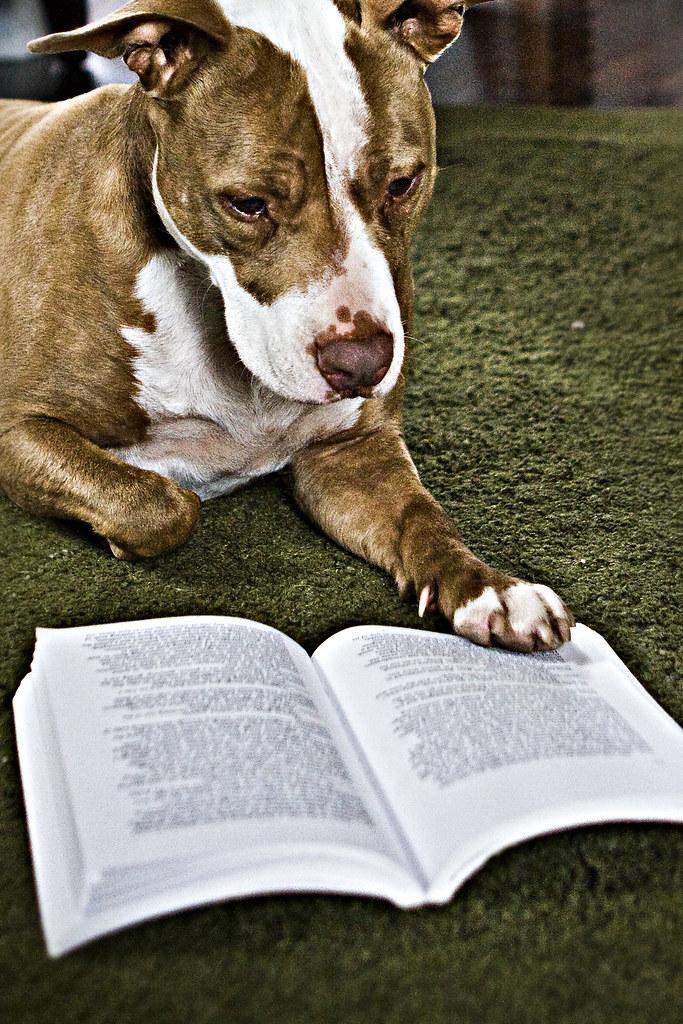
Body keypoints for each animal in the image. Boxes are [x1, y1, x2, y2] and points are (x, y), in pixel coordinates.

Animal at [0, 0, 573, 651]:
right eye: (247, 204)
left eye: (403, 184)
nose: (362, 364)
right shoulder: (19, 430)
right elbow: (158, 504)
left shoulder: (352, 450)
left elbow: (422, 518)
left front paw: (491, 588)